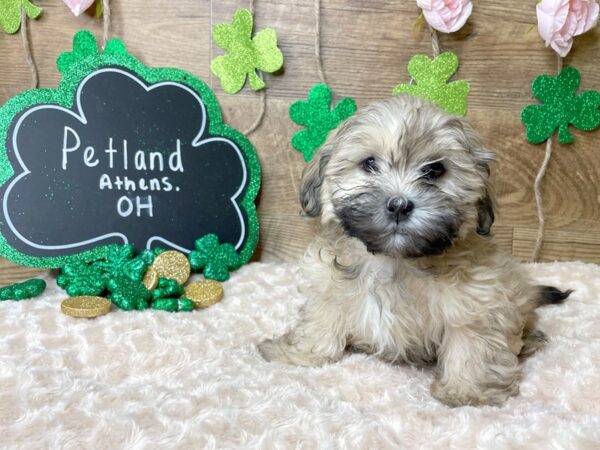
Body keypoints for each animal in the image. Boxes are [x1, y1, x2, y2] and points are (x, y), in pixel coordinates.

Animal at [258, 95, 568, 408]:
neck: (395, 260)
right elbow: (321, 319)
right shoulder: (327, 285)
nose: (399, 205)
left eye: (435, 170)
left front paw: (467, 392)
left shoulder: (479, 301)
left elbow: (472, 346)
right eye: (369, 163)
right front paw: (300, 353)